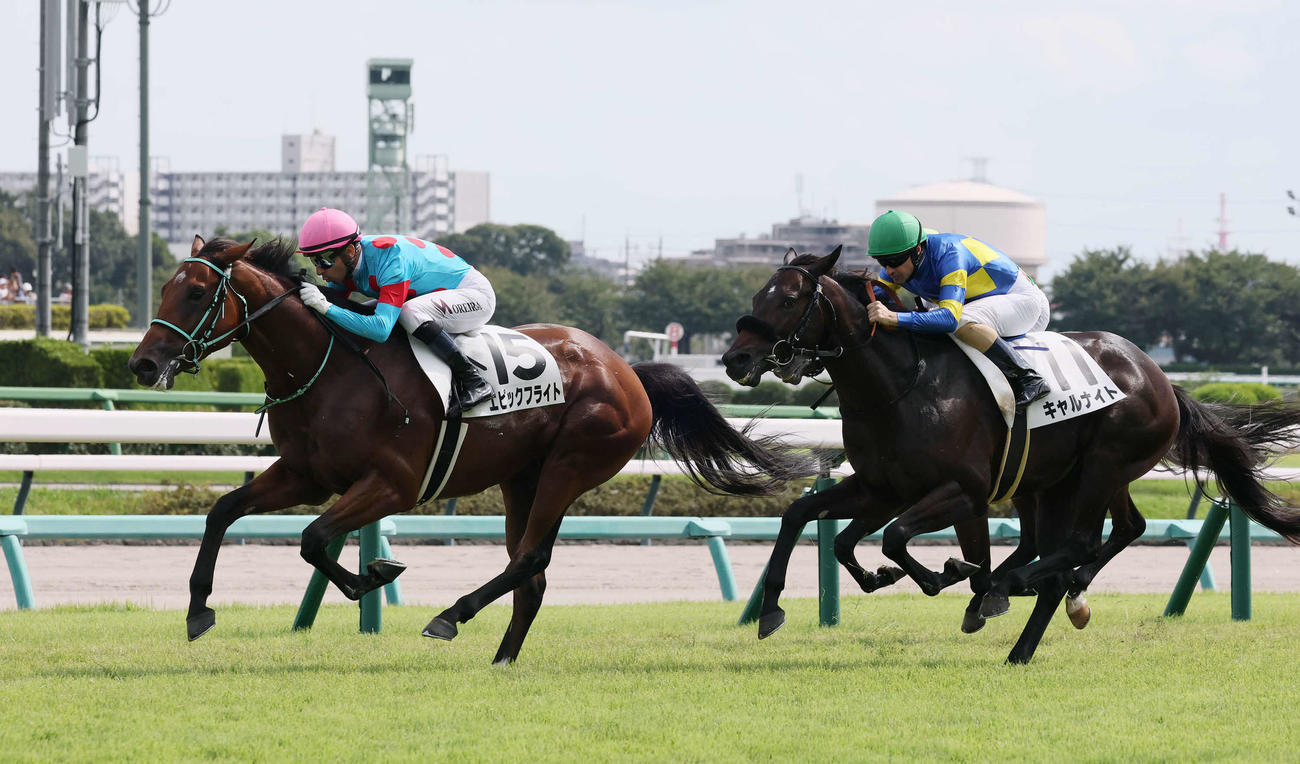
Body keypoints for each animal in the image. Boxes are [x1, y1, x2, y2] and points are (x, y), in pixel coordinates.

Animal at [128, 236, 815, 664]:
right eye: (162, 289)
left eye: (196, 294)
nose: (142, 364)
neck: (332, 367)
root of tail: (626, 369)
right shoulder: (307, 474)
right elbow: (224, 512)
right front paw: (197, 610)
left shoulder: (392, 484)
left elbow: (314, 537)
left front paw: (374, 575)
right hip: (522, 477)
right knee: (531, 573)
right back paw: (502, 658)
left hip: (571, 465)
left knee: (530, 559)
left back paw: (452, 617)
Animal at [721, 246, 1300, 664]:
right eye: (757, 292)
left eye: (789, 299)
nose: (735, 359)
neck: (902, 385)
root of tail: (1160, 378)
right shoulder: (882, 486)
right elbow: (811, 521)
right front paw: (774, 608)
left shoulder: (964, 491)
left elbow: (896, 538)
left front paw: (942, 576)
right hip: (1059, 480)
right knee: (1105, 534)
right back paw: (1032, 616)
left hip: (1100, 467)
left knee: (1078, 545)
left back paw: (1015, 593)